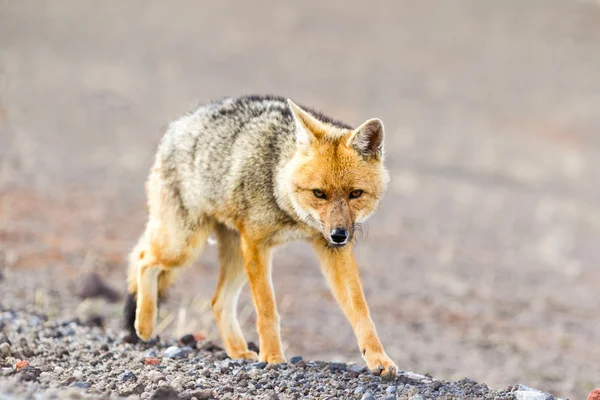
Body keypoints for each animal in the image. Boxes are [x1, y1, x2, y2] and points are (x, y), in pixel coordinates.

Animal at [123, 95, 396, 376]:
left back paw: (238, 351)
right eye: (319, 193)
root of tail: (179, 123)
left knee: (217, 301)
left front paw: (378, 358)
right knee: (144, 259)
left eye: (355, 194)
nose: (339, 235)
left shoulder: (330, 249)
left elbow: (360, 311)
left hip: (233, 256)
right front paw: (273, 357)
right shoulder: (256, 244)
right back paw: (143, 325)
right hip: (185, 247)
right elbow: (267, 310)